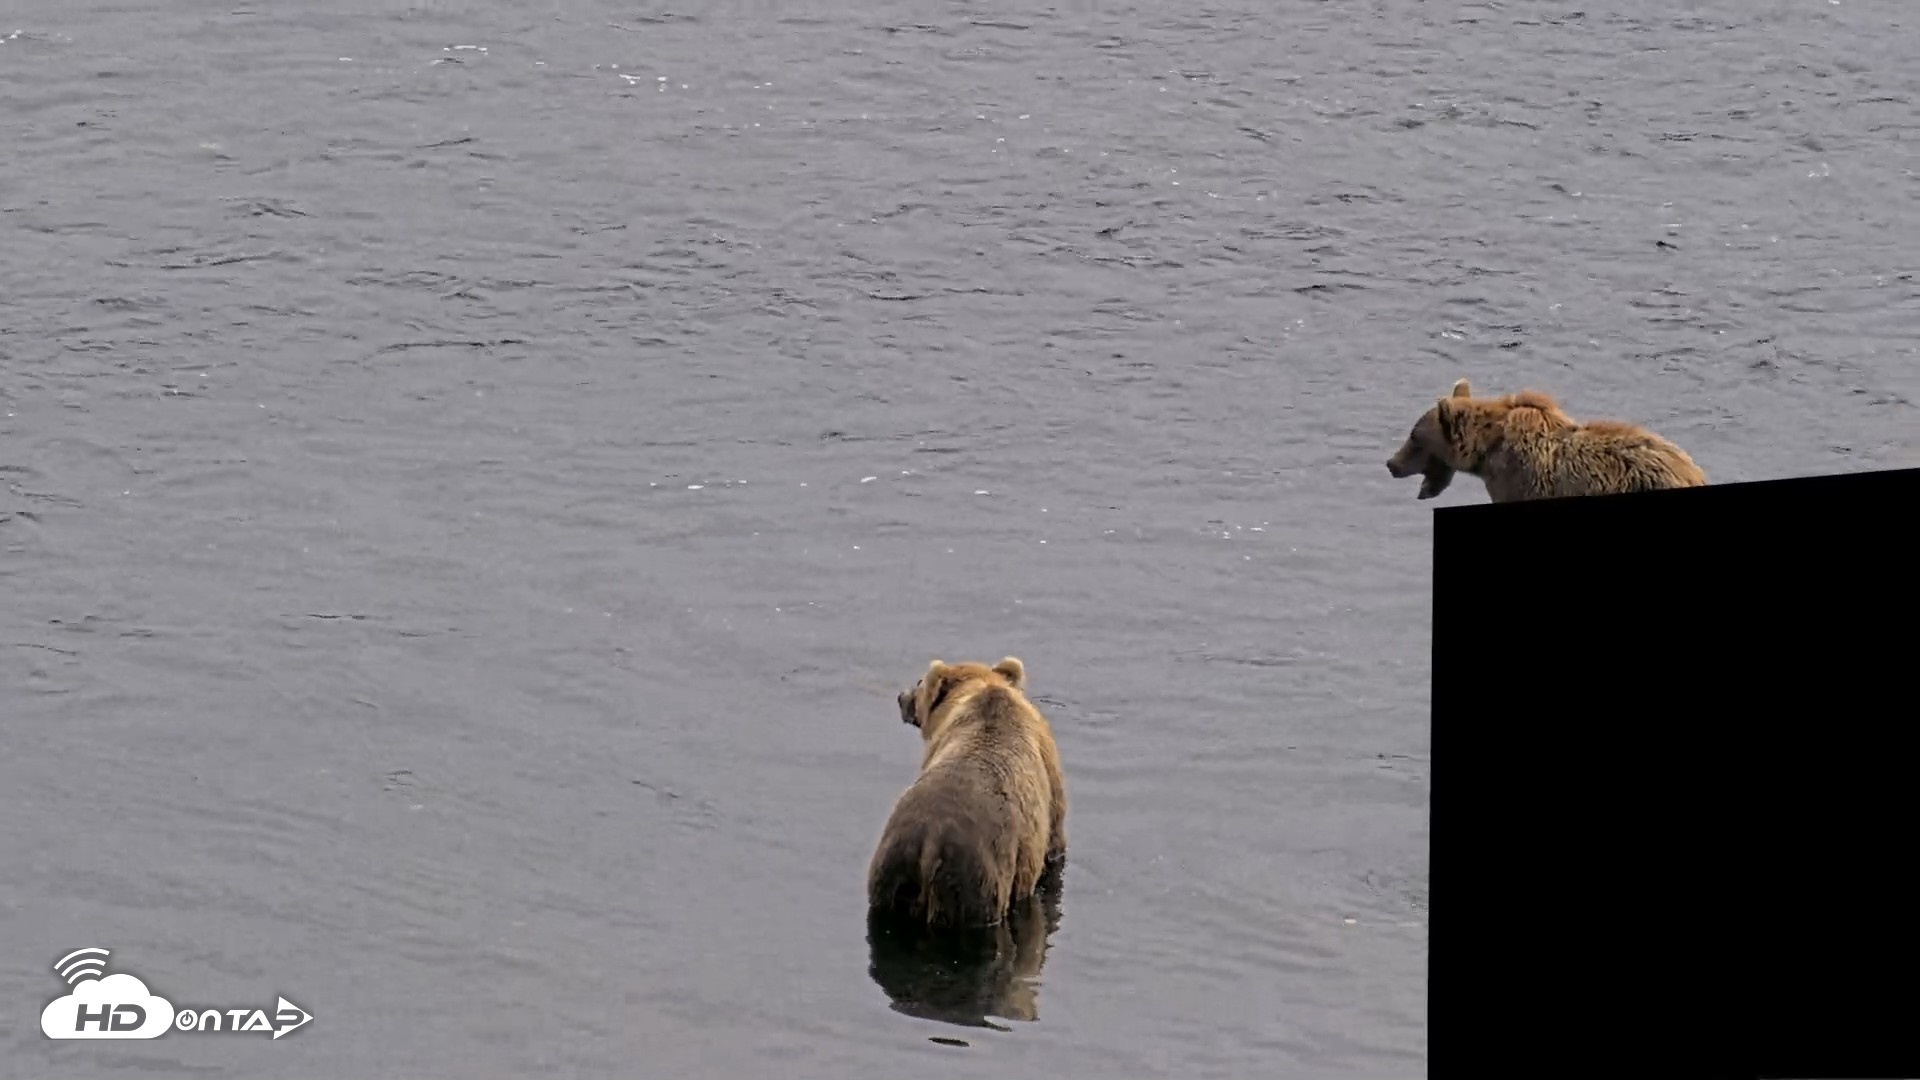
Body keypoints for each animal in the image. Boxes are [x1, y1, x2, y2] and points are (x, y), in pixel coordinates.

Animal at [866, 656, 1067, 930]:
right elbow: (1055, 840)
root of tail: (930, 844)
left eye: (918, 682)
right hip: (978, 882)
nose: (901, 697)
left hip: (892, 872)